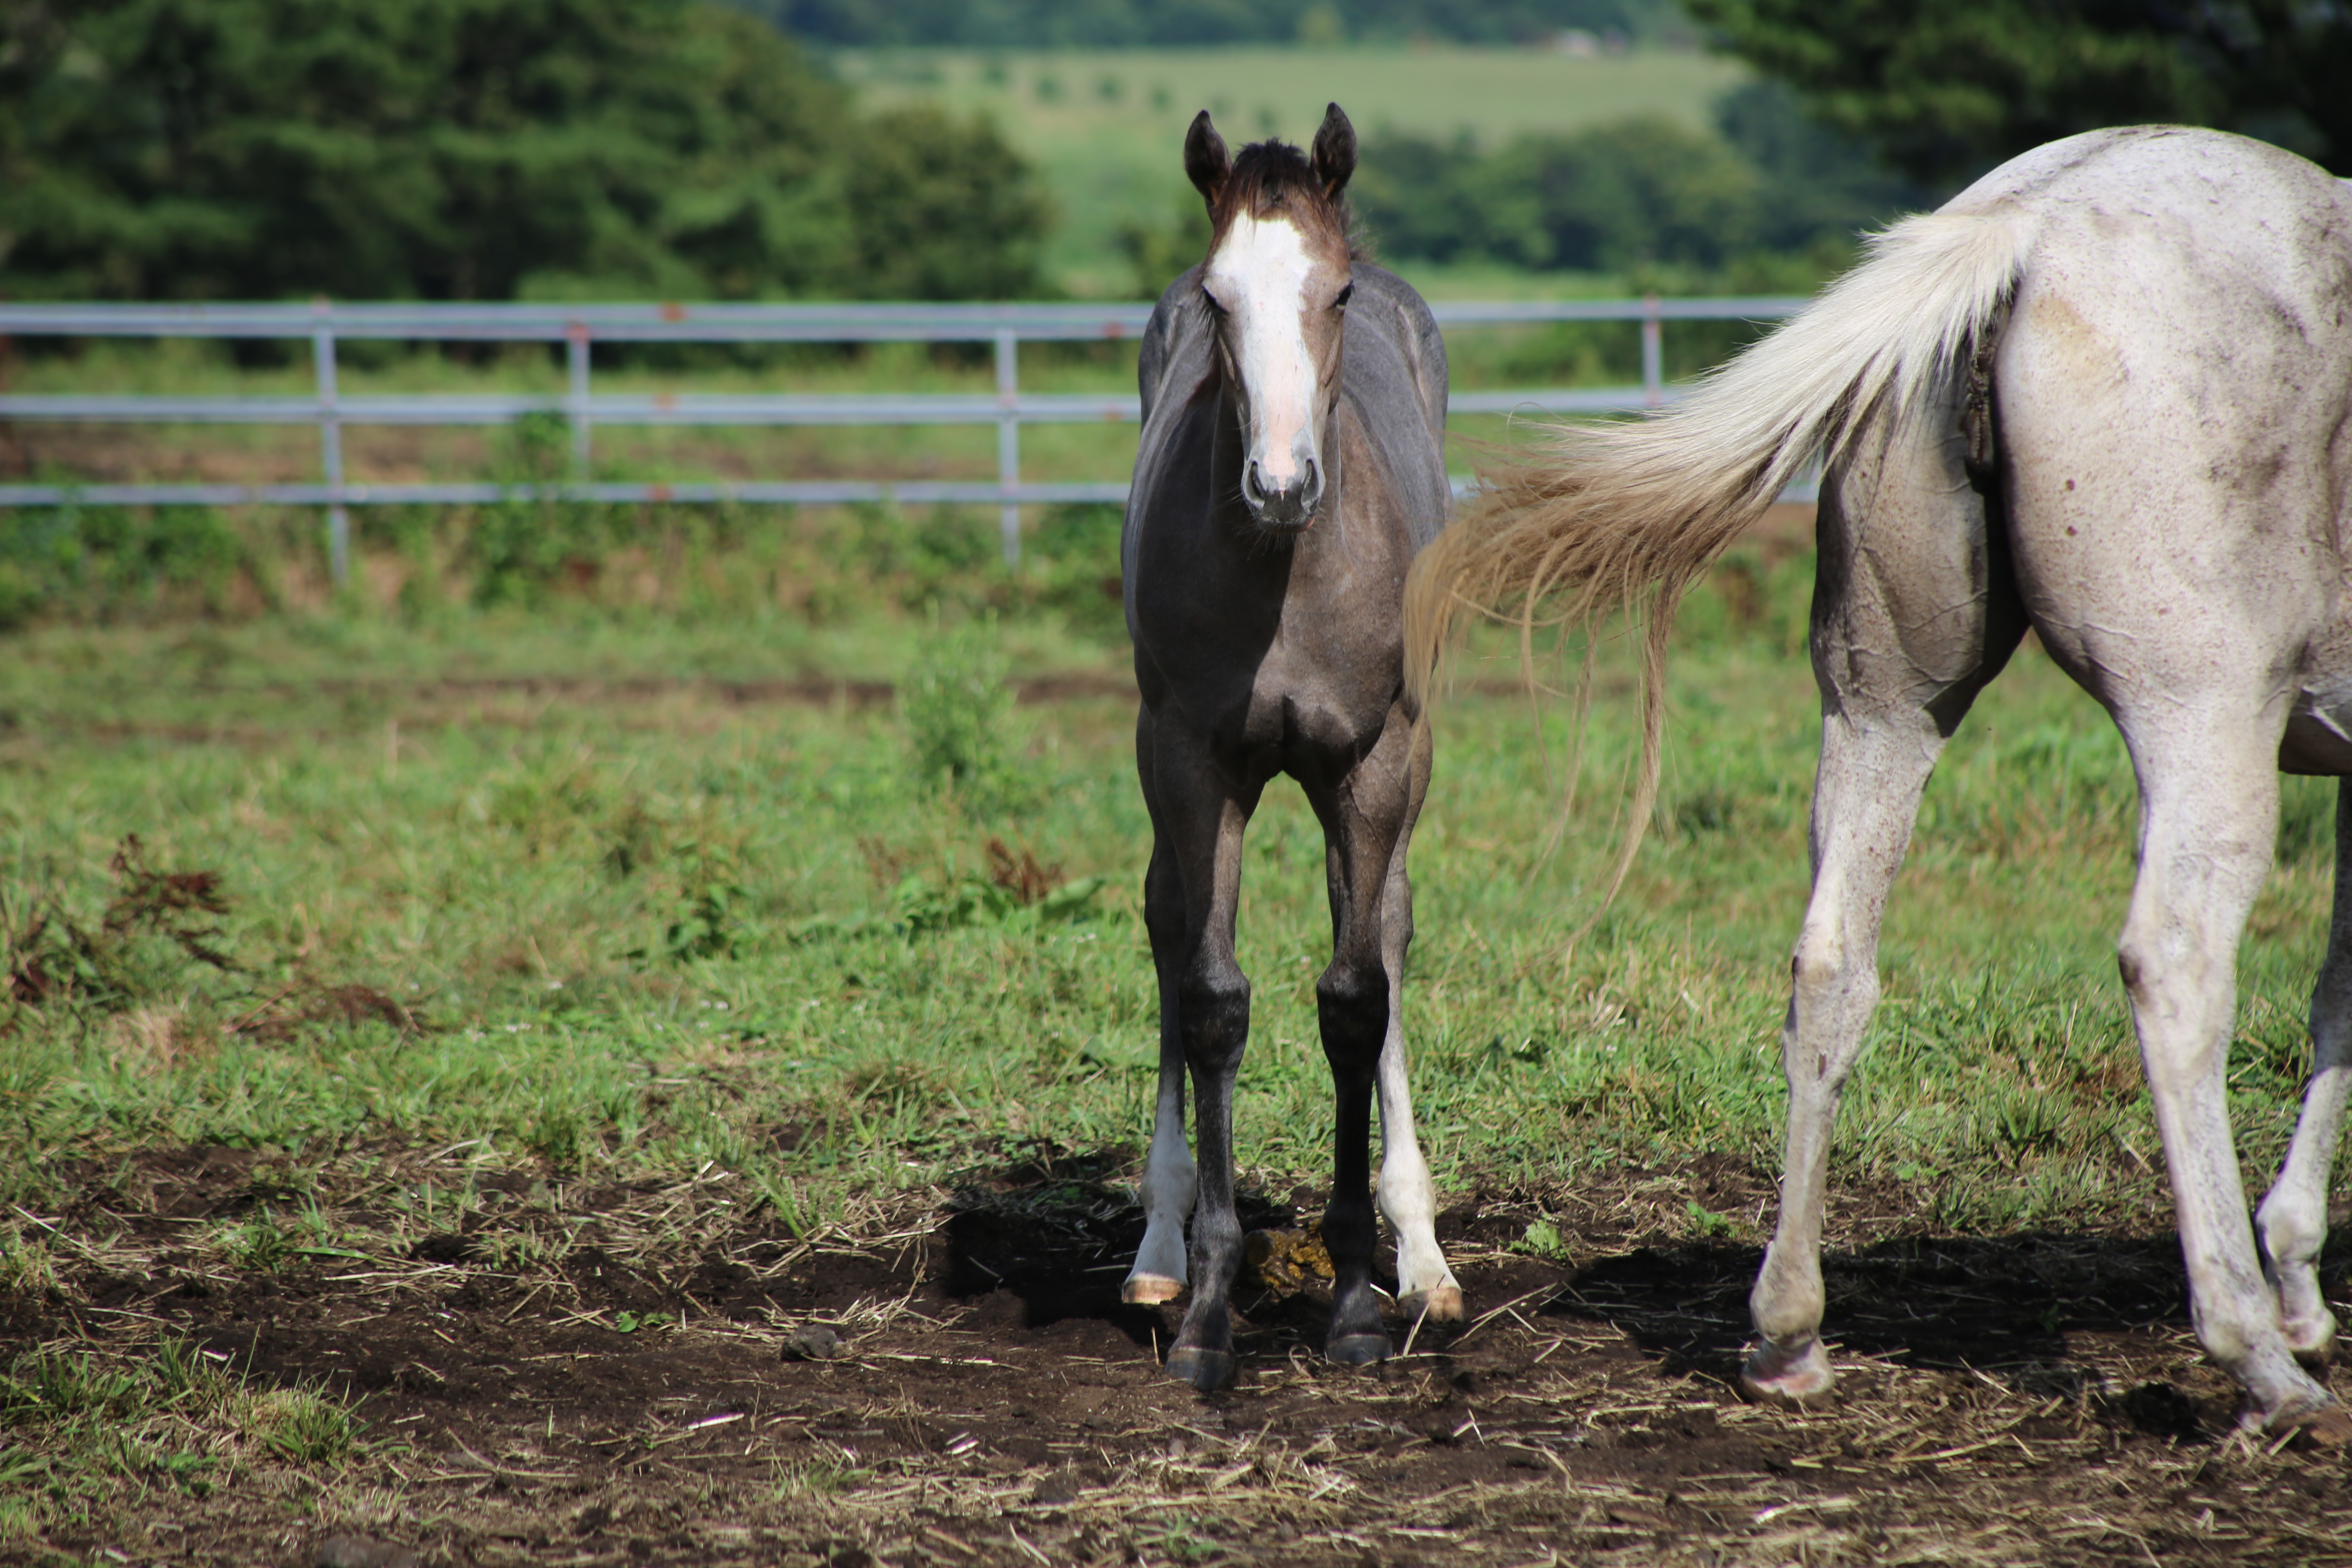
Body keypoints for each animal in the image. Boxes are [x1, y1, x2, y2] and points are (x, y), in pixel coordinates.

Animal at [1115, 104, 1458, 1392]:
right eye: (1216, 298)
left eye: (1337, 291)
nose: (1276, 483)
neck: (1284, 577)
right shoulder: (1191, 764)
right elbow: (1212, 998)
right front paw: (1209, 1312)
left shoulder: (1370, 765)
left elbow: (1357, 999)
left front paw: (1358, 1299)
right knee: (1169, 927)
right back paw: (1157, 1252)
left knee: (1389, 932)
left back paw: (1425, 1258)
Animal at [1401, 129, 2352, 1439]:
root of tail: (2025, 224)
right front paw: (2295, 1283)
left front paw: (2304, 1275)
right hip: (2202, 718)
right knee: (2175, 967)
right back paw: (2256, 1352)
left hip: (1883, 705)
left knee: (1830, 964)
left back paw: (1788, 1334)